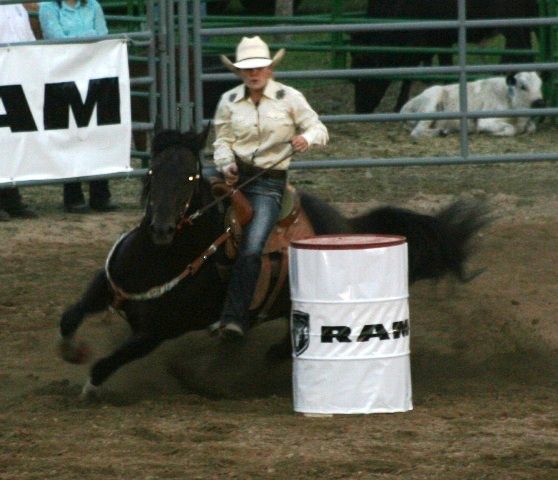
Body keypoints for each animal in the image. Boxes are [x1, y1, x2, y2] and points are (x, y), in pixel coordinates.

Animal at [402, 72, 548, 138]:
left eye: (541, 85)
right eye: (523, 86)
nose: (540, 102)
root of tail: (405, 108)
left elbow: (531, 128)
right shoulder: (485, 121)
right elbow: (510, 129)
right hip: (431, 102)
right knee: (416, 132)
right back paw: (439, 132)